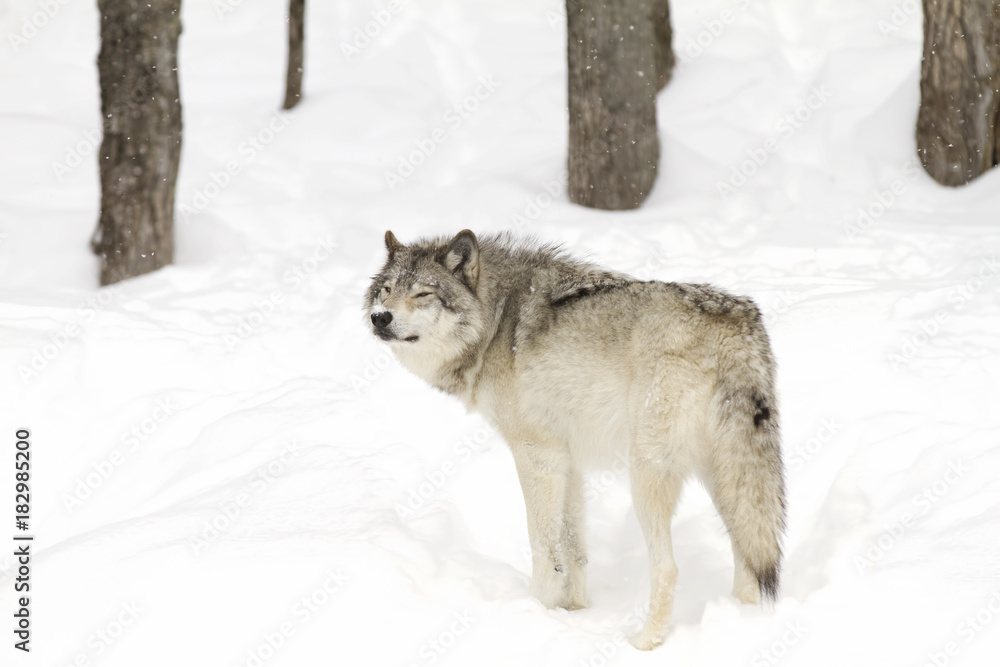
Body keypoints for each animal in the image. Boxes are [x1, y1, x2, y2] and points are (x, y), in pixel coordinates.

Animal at [365, 230, 786, 650]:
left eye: (423, 294)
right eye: (386, 290)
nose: (380, 317)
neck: (496, 322)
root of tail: (737, 322)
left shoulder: (536, 456)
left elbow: (543, 547)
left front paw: (536, 611)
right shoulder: (567, 459)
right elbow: (572, 548)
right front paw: (574, 611)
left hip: (648, 475)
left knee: (668, 567)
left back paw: (644, 643)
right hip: (727, 477)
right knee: (749, 554)